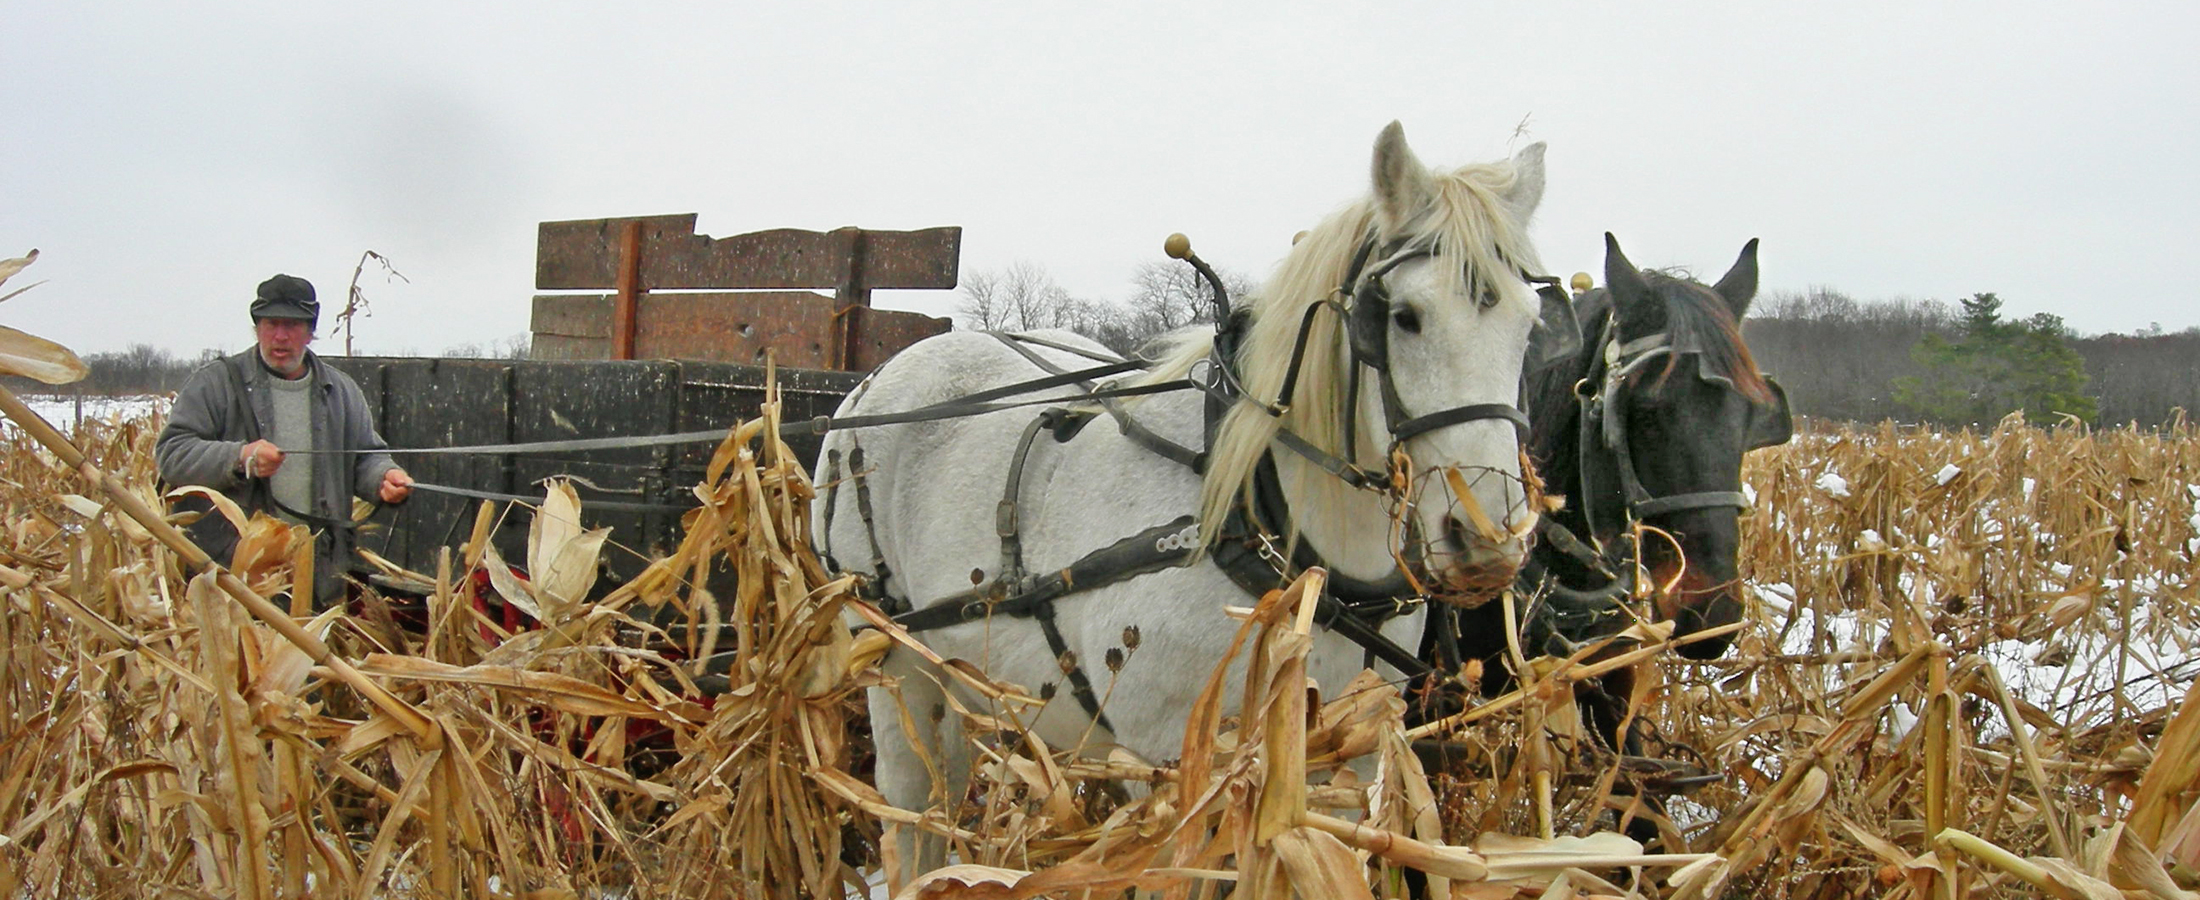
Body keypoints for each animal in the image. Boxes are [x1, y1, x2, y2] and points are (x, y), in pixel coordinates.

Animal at [818, 122, 1557, 866]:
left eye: (1530, 324)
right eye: (1404, 317)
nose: (1487, 540)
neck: (1259, 524)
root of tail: (874, 381)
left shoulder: (1348, 750)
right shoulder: (1174, 769)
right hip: (892, 654)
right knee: (911, 813)